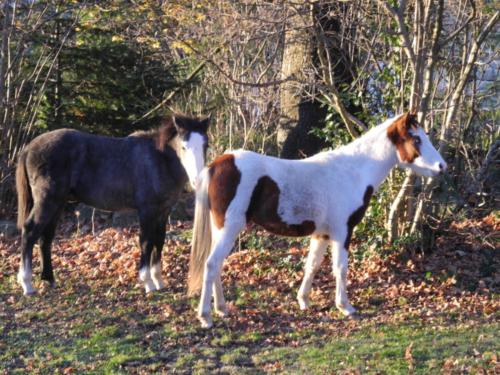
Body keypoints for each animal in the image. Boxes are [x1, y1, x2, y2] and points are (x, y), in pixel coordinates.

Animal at [16, 115, 209, 296]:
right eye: (184, 147)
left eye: (205, 145)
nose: (197, 180)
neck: (158, 160)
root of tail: (29, 148)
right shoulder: (147, 211)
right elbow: (146, 242)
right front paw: (148, 282)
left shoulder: (163, 211)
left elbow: (159, 241)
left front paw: (159, 281)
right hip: (47, 201)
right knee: (30, 231)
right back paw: (27, 284)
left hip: (57, 203)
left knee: (45, 238)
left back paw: (49, 279)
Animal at [187, 112, 446, 328]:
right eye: (416, 139)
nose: (442, 166)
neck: (352, 171)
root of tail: (217, 164)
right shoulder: (342, 232)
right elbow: (340, 268)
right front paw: (345, 306)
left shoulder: (321, 234)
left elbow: (312, 265)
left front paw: (303, 301)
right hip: (230, 228)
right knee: (211, 264)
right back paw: (206, 317)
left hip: (220, 229)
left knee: (216, 265)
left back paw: (222, 309)